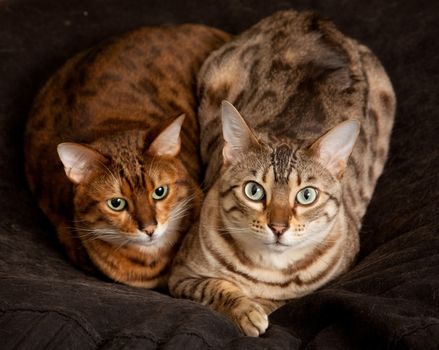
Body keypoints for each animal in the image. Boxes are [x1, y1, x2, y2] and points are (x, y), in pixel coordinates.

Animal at [170, 10, 398, 336]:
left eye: (306, 195)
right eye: (254, 190)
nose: (278, 227)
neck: (267, 270)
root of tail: (312, 16)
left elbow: (278, 302)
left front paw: (259, 306)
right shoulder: (181, 275)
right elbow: (215, 288)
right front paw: (245, 311)